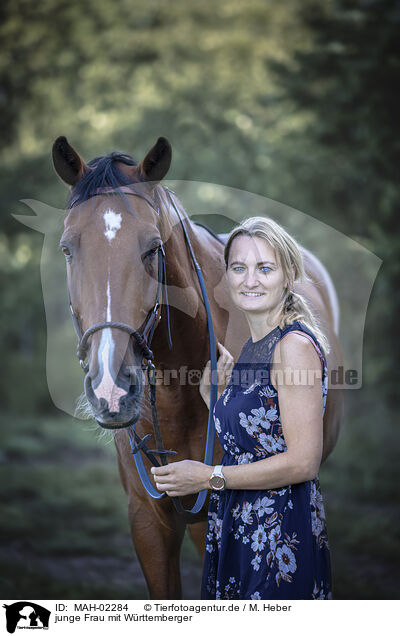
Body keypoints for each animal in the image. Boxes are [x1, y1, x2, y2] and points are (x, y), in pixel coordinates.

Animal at [50, 137, 344, 600]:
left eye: (152, 248)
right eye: (67, 249)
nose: (111, 389)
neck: (176, 395)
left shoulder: (208, 515)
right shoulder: (147, 520)